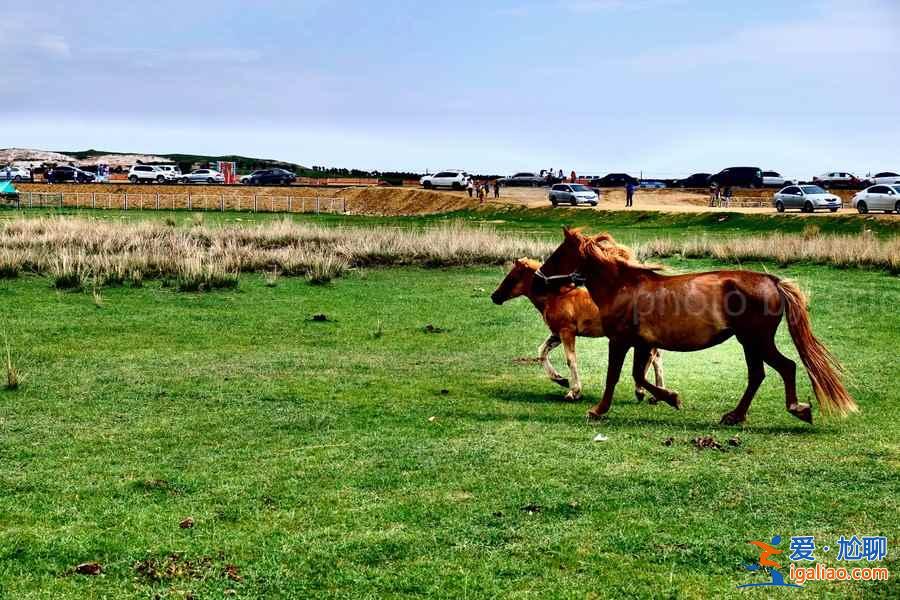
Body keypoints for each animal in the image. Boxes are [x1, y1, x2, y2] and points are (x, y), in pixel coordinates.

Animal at [488, 258, 664, 404]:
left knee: (651, 356)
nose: (494, 296)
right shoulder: (557, 334)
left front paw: (574, 392)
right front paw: (560, 379)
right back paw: (655, 395)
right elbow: (542, 351)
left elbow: (570, 359)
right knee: (656, 357)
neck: (556, 296)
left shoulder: (567, 332)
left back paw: (640, 391)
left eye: (512, 277)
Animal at [536, 227, 856, 424]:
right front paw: (671, 398)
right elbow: (639, 376)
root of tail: (772, 281)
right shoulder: (643, 343)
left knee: (784, 367)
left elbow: (615, 376)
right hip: (749, 342)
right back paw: (735, 416)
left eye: (558, 254)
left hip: (755, 340)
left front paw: (598, 410)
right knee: (758, 375)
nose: (539, 278)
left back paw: (796, 409)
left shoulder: (620, 340)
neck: (622, 287)